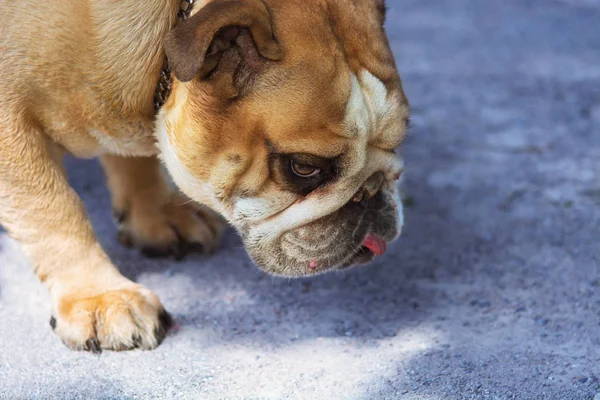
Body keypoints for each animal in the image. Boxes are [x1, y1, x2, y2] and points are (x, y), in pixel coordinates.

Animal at [0, 0, 408, 352]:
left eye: (400, 142)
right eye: (303, 167)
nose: (370, 194)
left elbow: (134, 162)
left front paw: (154, 217)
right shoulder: (11, 125)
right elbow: (53, 210)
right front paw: (100, 295)